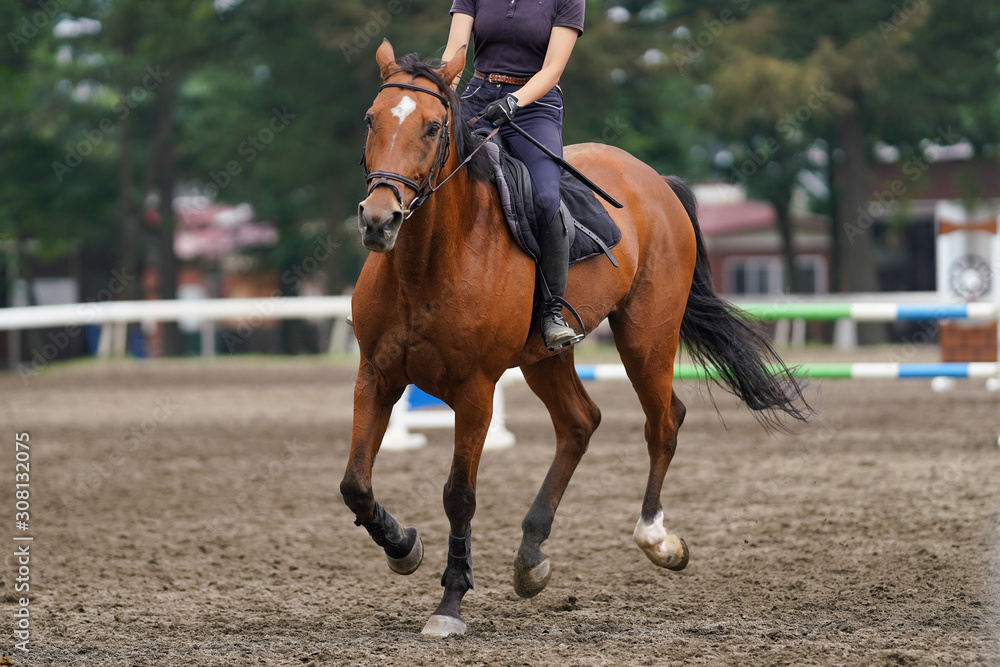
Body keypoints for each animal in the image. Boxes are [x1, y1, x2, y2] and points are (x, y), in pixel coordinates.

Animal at [341, 40, 810, 637]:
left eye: (431, 127)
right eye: (370, 119)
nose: (379, 220)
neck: (427, 261)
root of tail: (655, 180)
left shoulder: (476, 392)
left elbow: (460, 496)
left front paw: (450, 602)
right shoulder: (375, 376)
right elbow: (356, 483)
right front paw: (404, 547)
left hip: (645, 339)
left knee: (664, 422)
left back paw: (657, 539)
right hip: (545, 357)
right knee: (580, 423)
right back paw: (530, 556)